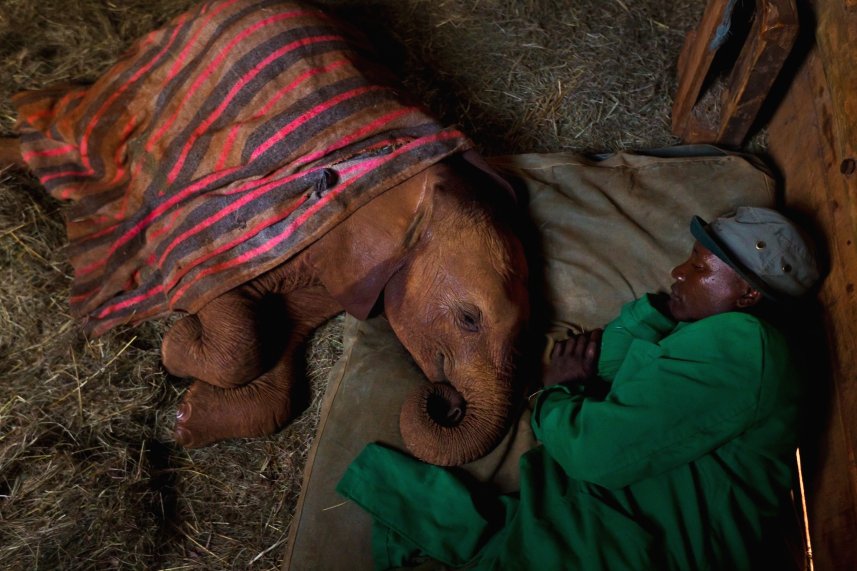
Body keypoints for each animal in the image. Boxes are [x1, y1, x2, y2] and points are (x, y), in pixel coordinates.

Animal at [3, 0, 528, 466]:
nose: (447, 402)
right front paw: (177, 343)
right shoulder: (244, 231)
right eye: (468, 319)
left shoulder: (338, 274)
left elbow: (277, 347)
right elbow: (236, 330)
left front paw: (186, 418)